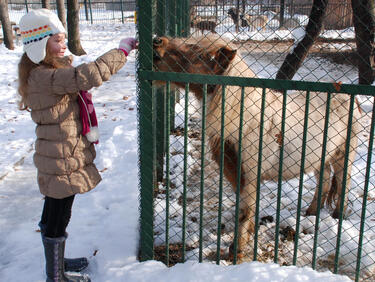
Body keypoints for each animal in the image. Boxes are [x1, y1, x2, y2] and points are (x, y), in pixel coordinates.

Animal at [152, 35, 362, 262]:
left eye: (199, 54)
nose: (158, 41)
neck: (247, 121)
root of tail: (353, 100)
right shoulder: (236, 173)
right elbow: (247, 209)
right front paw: (250, 233)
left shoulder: (250, 175)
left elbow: (244, 210)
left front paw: (236, 250)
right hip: (319, 159)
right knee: (323, 181)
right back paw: (310, 214)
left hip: (344, 155)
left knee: (343, 183)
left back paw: (337, 216)